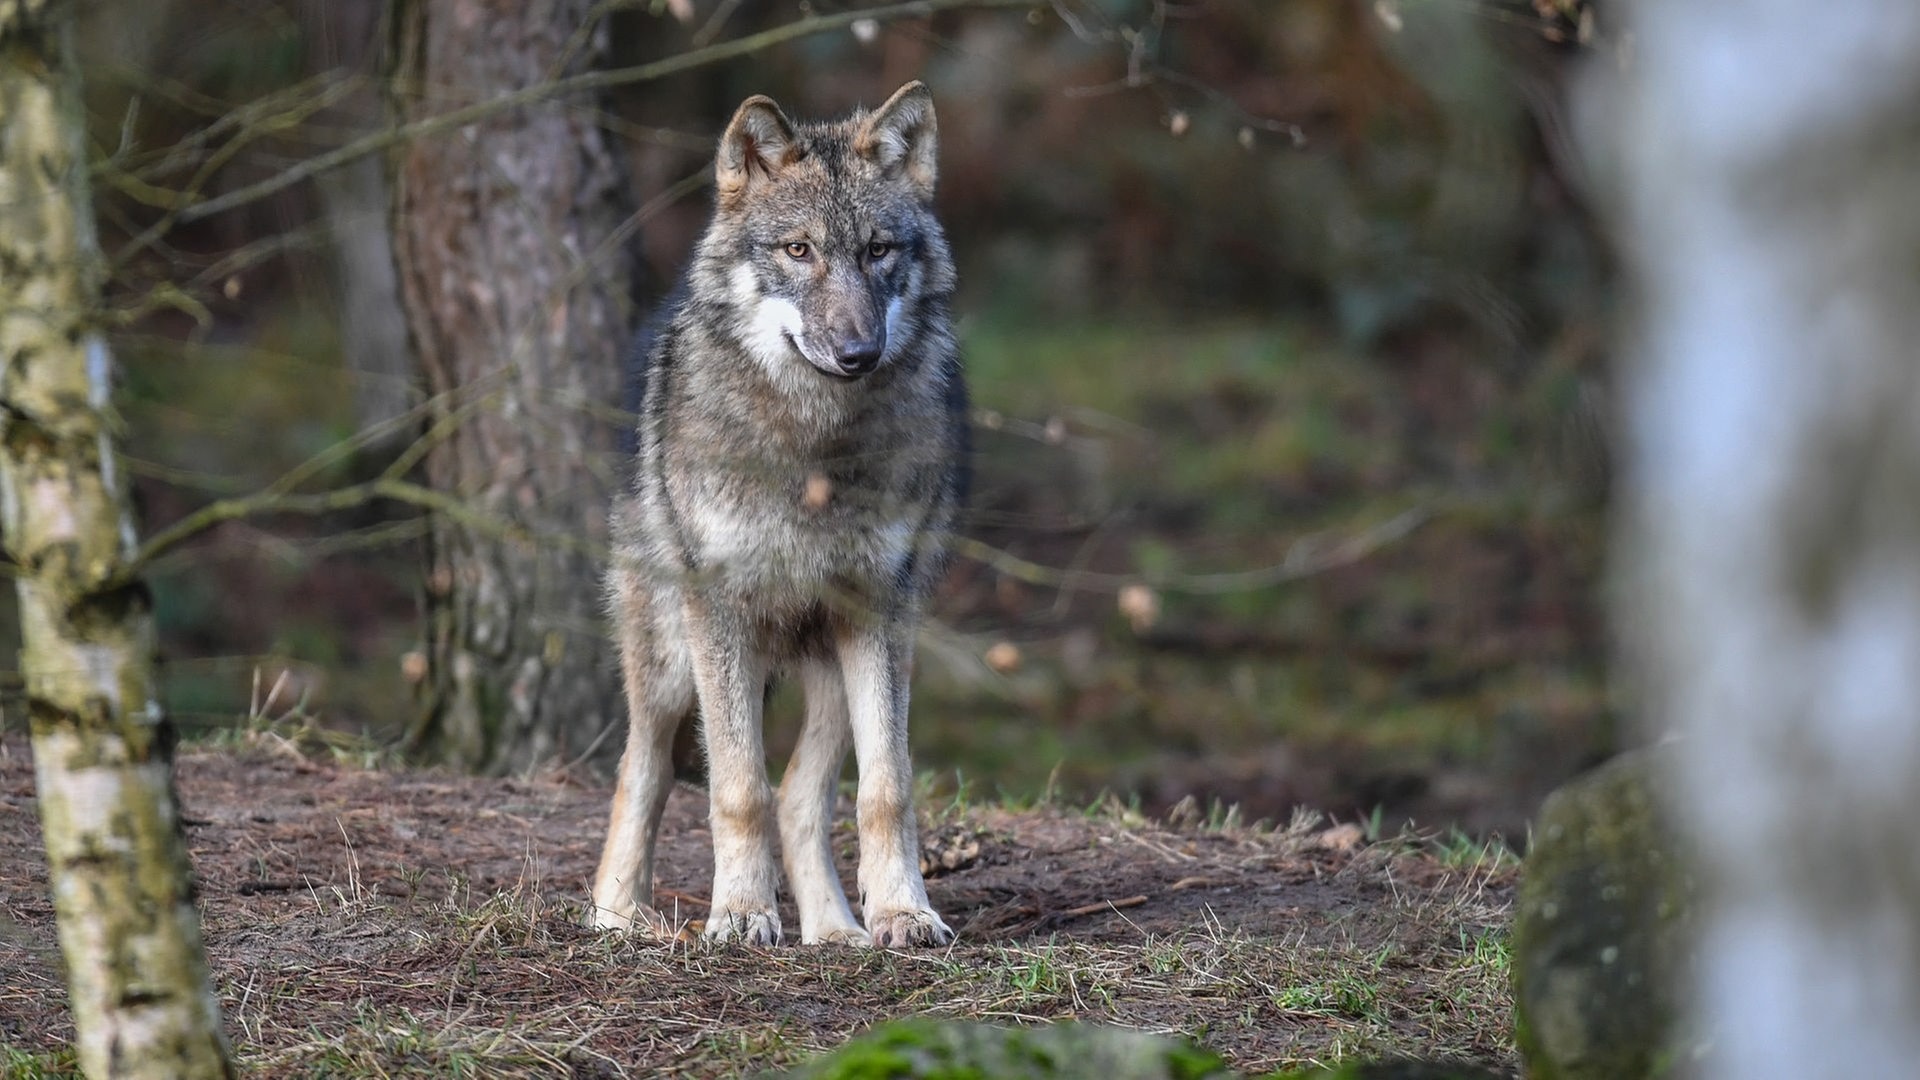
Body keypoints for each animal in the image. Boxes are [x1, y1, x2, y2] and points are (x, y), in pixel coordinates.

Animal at [583, 82, 967, 941]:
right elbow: (736, 789)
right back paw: (617, 912)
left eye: (878, 251)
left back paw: (835, 932)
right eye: (798, 251)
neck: (813, 445)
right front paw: (740, 913)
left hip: (835, 658)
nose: (858, 352)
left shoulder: (880, 611)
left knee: (802, 796)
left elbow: (886, 788)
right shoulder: (719, 610)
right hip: (670, 657)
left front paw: (903, 912)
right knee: (643, 767)